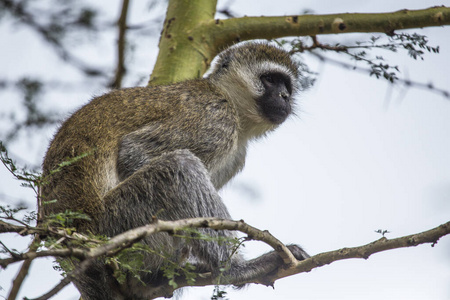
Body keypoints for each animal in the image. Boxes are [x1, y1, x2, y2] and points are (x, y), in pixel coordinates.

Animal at [42, 42, 308, 300]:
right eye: (270, 79)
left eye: (287, 85)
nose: (285, 96)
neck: (230, 101)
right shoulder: (213, 119)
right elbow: (132, 151)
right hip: (114, 225)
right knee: (180, 166)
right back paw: (234, 269)